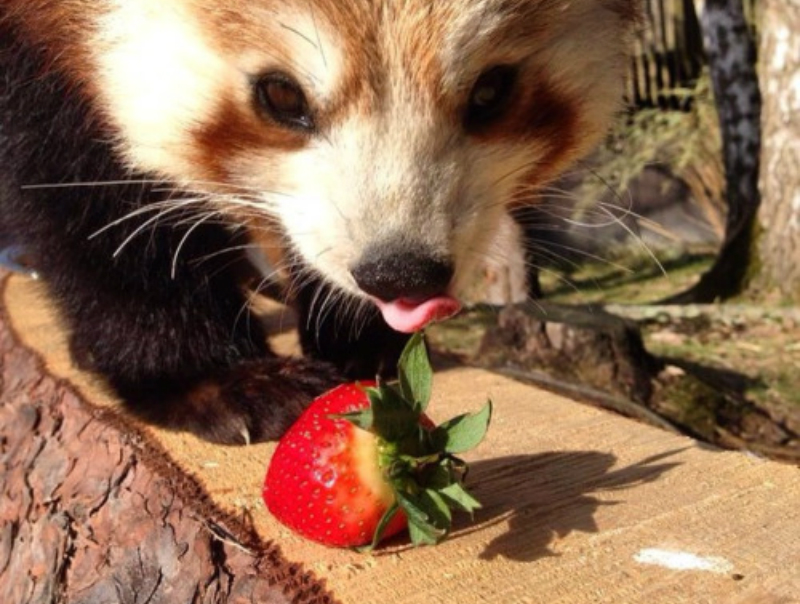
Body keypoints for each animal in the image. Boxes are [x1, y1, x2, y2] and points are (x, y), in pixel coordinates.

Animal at [0, 0, 636, 444]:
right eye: (281, 95)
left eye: (491, 90)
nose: (401, 273)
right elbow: (91, 200)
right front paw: (210, 376)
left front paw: (359, 341)